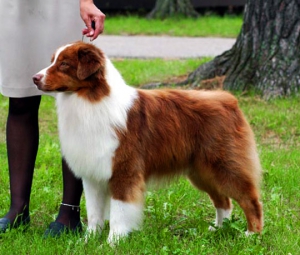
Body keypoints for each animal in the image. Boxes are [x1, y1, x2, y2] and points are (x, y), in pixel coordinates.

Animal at [32, 41, 262, 243]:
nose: (34, 78)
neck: (89, 99)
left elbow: (119, 212)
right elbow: (94, 212)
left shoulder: (124, 170)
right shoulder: (93, 173)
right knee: (224, 200)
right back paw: (219, 229)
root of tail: (228, 99)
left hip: (223, 165)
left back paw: (252, 235)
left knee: (250, 199)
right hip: (201, 171)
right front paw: (88, 240)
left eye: (64, 64)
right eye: (52, 61)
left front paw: (113, 242)